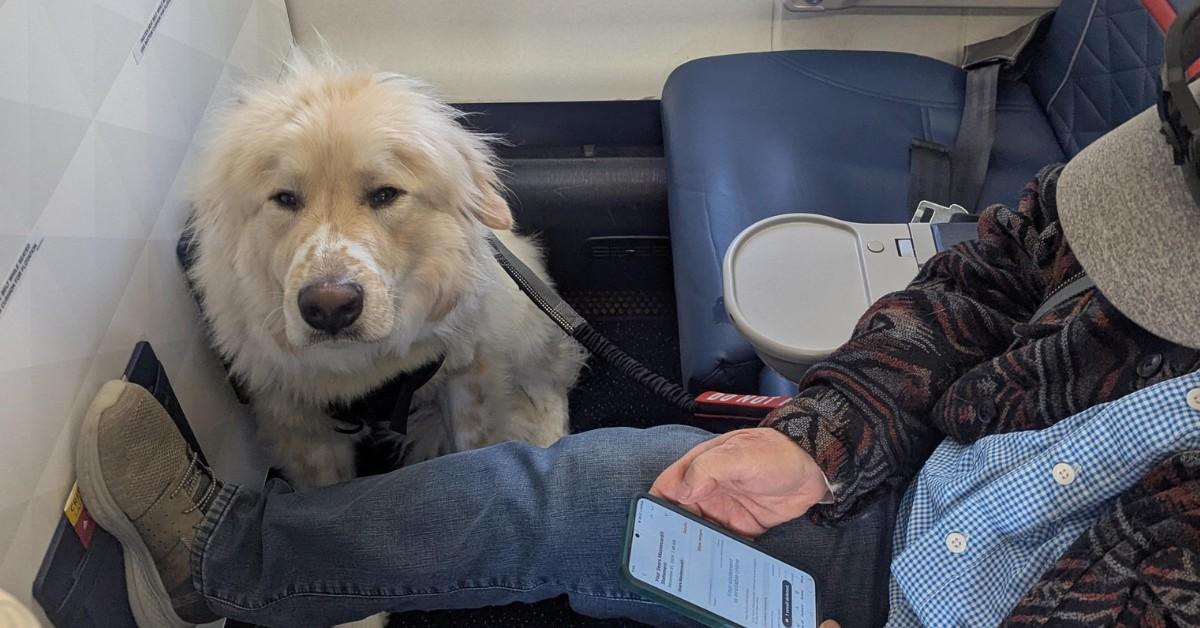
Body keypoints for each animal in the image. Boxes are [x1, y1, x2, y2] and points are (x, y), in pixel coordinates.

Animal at [184, 55, 583, 492]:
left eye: (385, 194)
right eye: (285, 199)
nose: (330, 307)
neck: (365, 370)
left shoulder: (469, 373)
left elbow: (473, 444)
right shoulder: (297, 421)